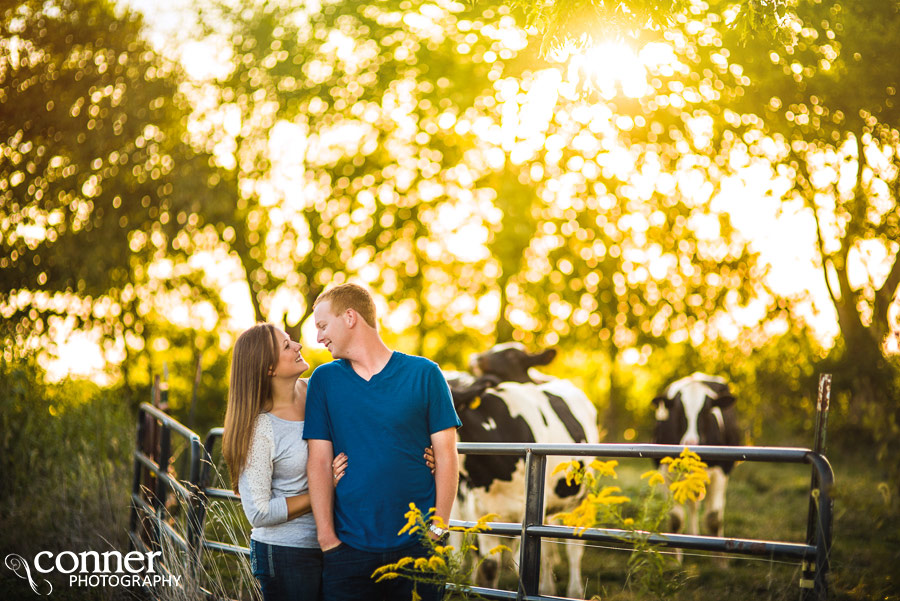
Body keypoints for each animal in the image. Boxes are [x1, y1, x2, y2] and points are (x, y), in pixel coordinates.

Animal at [652, 372, 740, 540]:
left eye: (707, 411)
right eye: (678, 411)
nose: (692, 443)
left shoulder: (721, 471)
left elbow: (713, 520)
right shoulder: (665, 471)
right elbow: (676, 519)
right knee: (693, 504)